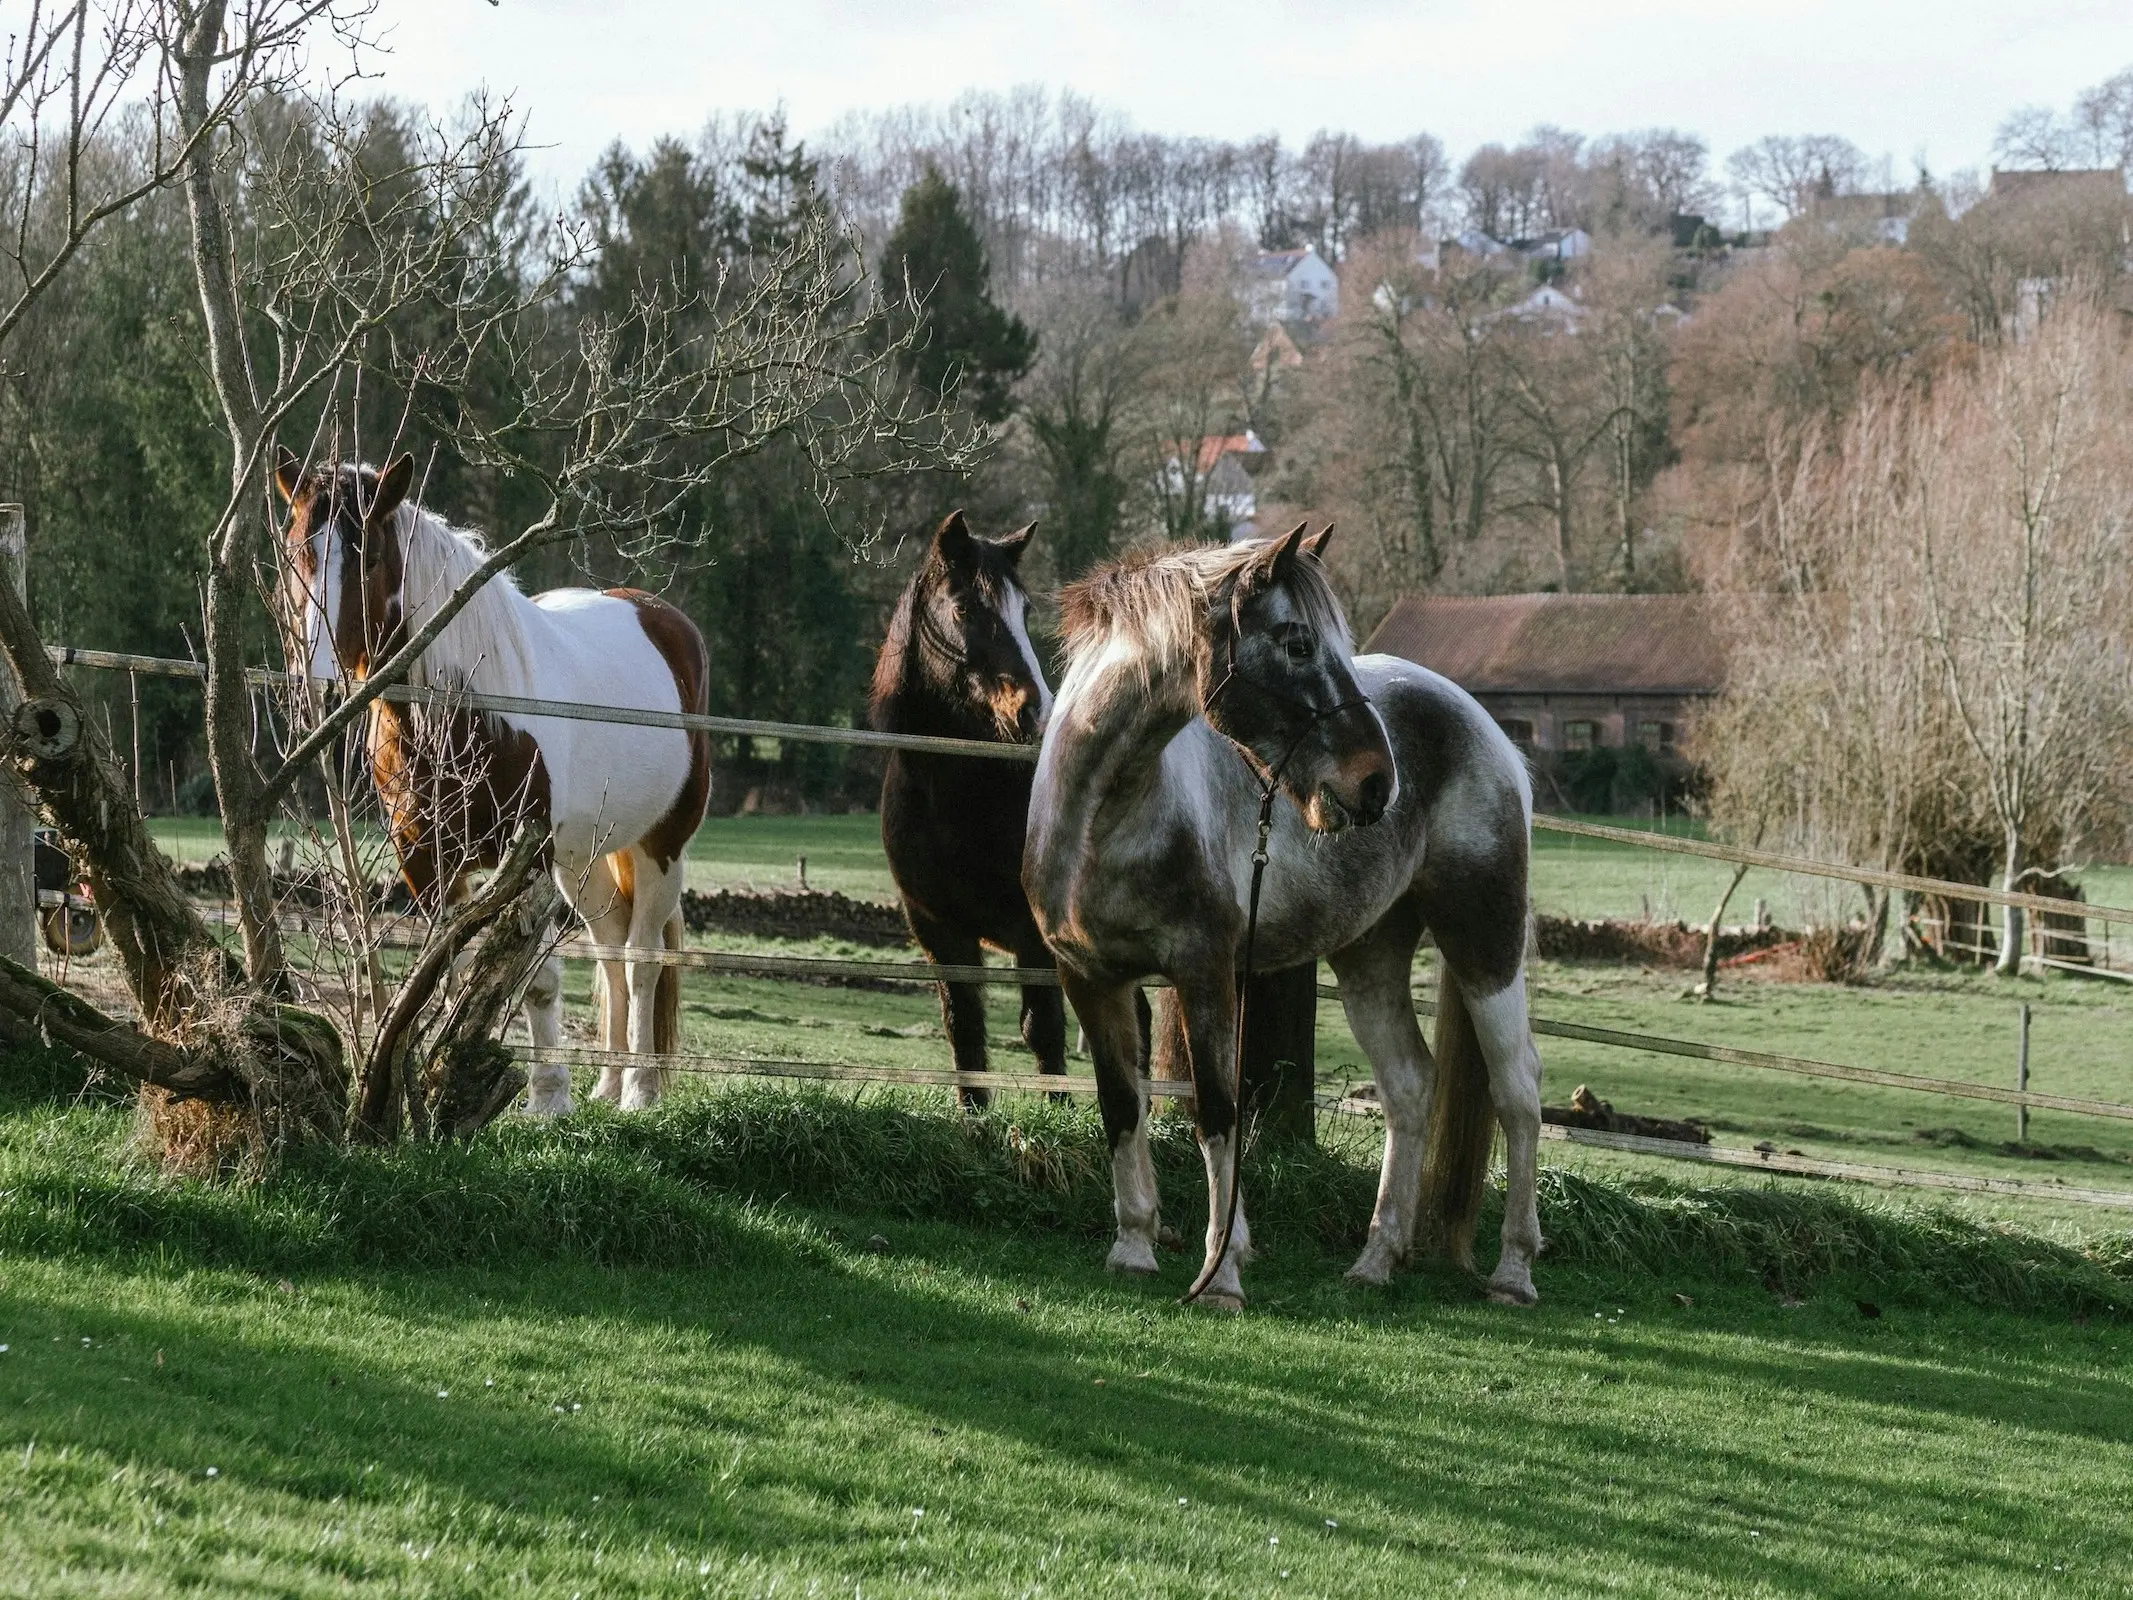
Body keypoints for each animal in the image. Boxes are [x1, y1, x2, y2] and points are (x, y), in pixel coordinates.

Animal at [270, 454, 708, 1117]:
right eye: (297, 550)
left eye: (369, 557)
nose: (314, 681)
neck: (469, 709)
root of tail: (663, 619)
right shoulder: (425, 860)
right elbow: (445, 973)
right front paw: (431, 1082)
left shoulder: (527, 861)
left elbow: (539, 983)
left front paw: (549, 1098)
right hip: (583, 857)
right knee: (610, 946)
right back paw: (607, 1085)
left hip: (660, 847)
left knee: (640, 960)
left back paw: (638, 1090)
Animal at [865, 514, 1066, 1100]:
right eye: (963, 610)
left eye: (1025, 611)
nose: (1034, 713)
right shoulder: (940, 931)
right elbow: (965, 1028)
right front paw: (974, 1118)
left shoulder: (1035, 935)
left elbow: (1044, 1030)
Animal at [1023, 526, 1544, 1314]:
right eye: (1297, 642)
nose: (1376, 781)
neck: (1104, 819)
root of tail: (1483, 726)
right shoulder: (1089, 978)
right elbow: (1121, 1106)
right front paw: (1134, 1248)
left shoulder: (1205, 974)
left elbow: (1216, 1115)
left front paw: (1220, 1275)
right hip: (1369, 955)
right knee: (1409, 1086)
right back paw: (1374, 1261)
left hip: (1483, 937)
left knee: (1518, 1090)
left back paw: (1513, 1272)